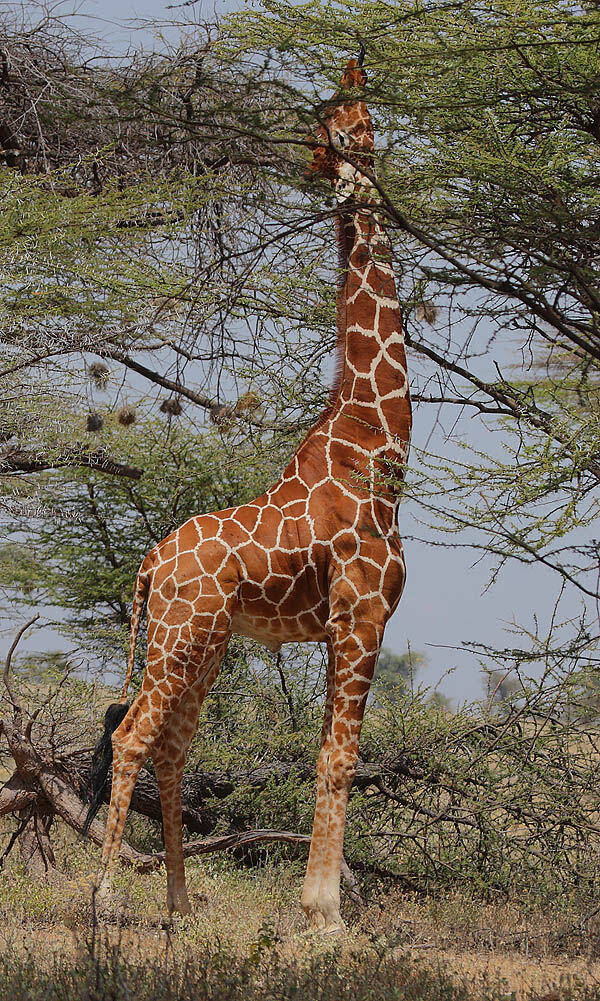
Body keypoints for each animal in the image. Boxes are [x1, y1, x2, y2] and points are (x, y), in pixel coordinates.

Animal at [86, 54, 412, 934]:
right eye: (334, 125)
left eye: (360, 123)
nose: (341, 174)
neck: (379, 442)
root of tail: (148, 566)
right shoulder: (362, 613)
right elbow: (341, 755)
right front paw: (328, 918)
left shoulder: (337, 627)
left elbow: (327, 751)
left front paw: (319, 908)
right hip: (177, 640)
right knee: (132, 737)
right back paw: (102, 896)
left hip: (207, 644)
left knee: (172, 746)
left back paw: (179, 903)